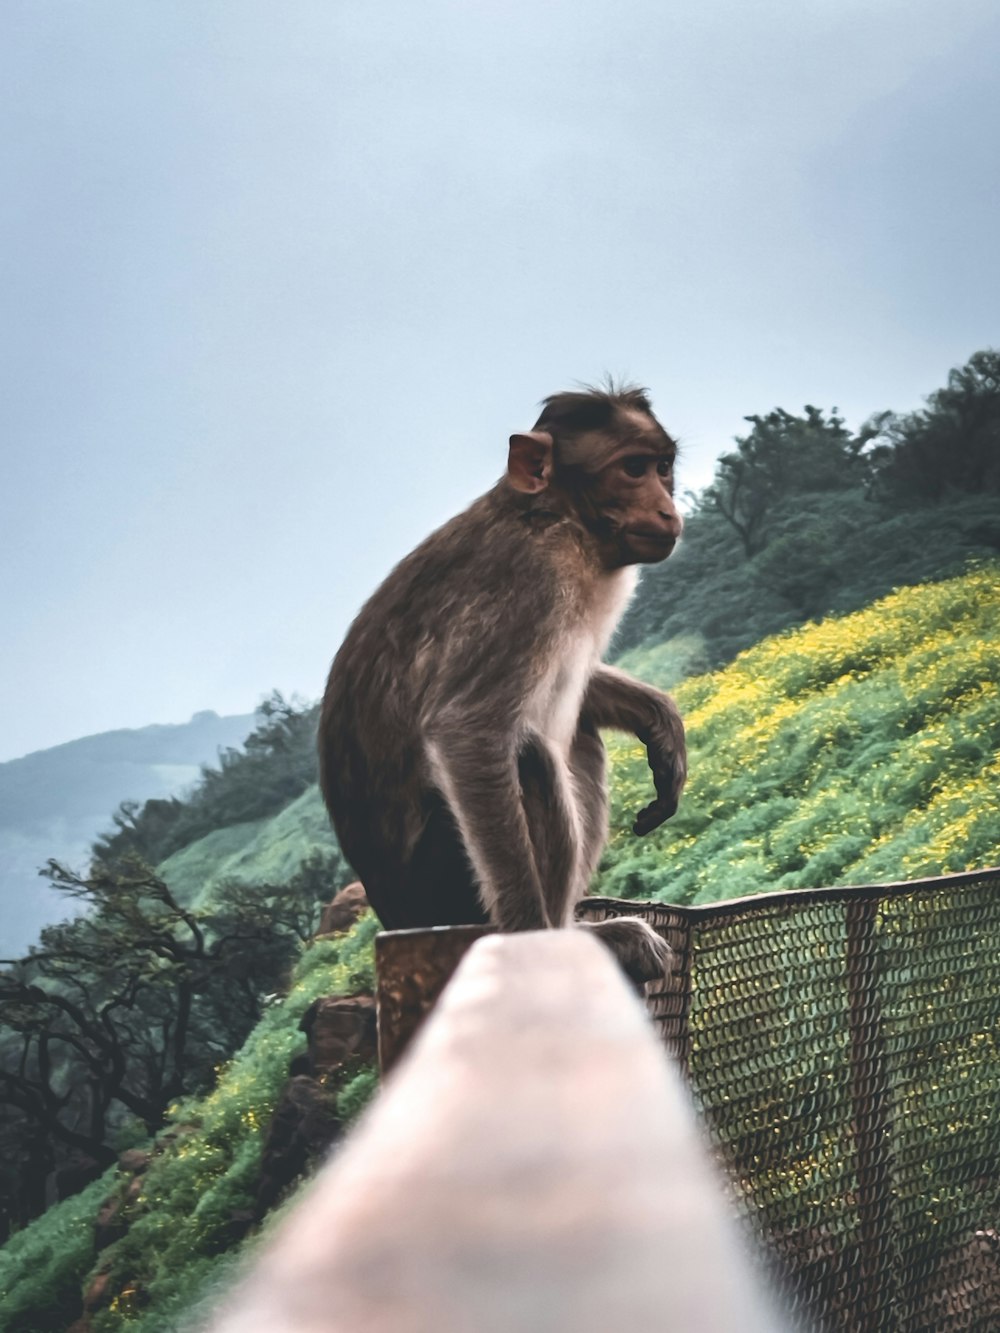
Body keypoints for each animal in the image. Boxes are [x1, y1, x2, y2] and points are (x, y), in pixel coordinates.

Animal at [321, 381, 688, 986]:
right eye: (632, 469)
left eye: (662, 467)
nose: (667, 508)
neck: (555, 518)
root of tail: (394, 919)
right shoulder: (528, 585)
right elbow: (467, 730)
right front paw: (529, 943)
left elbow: (577, 684)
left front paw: (659, 720)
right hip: (450, 895)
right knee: (529, 755)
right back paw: (563, 938)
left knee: (575, 734)